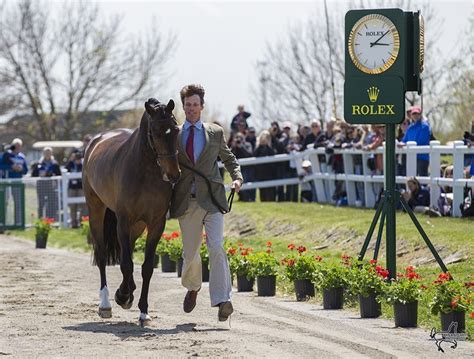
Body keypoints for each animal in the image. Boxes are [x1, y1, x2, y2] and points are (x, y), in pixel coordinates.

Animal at [82, 97, 181, 326]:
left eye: (176, 129)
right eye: (155, 132)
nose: (173, 174)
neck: (146, 171)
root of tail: (96, 141)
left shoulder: (155, 224)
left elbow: (146, 268)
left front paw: (143, 311)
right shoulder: (124, 221)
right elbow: (126, 264)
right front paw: (123, 296)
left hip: (137, 226)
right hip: (96, 210)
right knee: (102, 255)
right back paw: (106, 304)